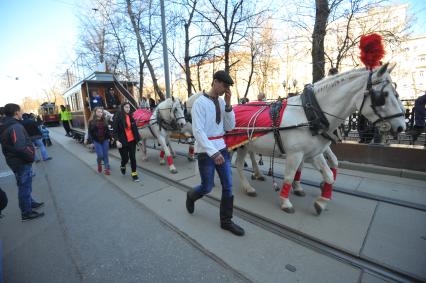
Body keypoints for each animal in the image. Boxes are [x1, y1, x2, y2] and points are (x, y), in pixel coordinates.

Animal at [236, 64, 406, 214]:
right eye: (384, 96)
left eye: (396, 93)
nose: (401, 126)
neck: (310, 114)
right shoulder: (295, 154)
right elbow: (289, 176)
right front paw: (286, 202)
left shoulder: (314, 153)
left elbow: (329, 173)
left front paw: (321, 200)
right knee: (237, 164)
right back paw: (249, 184)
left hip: (245, 145)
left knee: (242, 160)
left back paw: (252, 180)